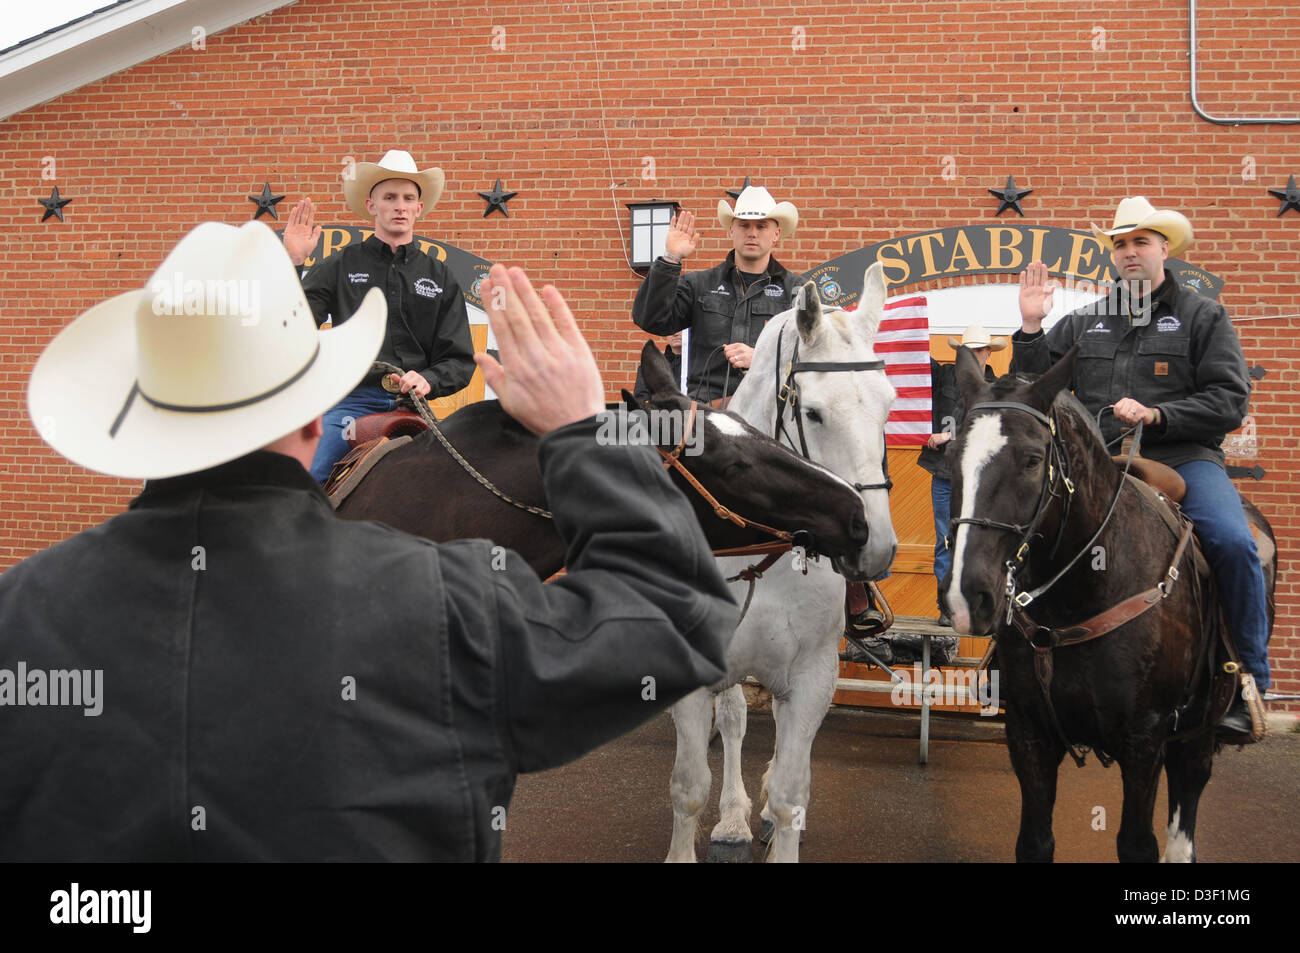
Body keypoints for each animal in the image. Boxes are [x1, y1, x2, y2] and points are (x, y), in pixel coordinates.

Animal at [665, 262, 899, 863]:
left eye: (889, 406)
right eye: (813, 412)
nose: (874, 544)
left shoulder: (814, 677)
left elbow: (794, 793)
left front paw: (779, 810)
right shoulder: (697, 679)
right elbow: (689, 788)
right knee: (734, 721)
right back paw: (733, 819)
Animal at [941, 343, 1274, 863]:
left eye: (1032, 460)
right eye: (953, 455)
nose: (966, 596)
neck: (1080, 597)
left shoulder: (1144, 741)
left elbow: (1137, 843)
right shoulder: (1029, 734)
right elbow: (1034, 842)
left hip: (1199, 731)